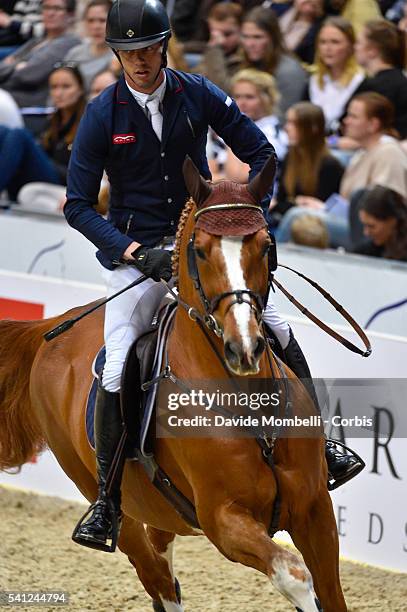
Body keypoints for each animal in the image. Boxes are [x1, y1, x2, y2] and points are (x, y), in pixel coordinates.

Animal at [0, 159, 348, 612]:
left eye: (266, 245)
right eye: (199, 250)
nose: (245, 347)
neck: (247, 403)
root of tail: (51, 328)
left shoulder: (315, 510)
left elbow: (330, 591)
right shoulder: (223, 520)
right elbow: (293, 574)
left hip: (162, 510)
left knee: (163, 558)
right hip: (108, 499)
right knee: (156, 576)